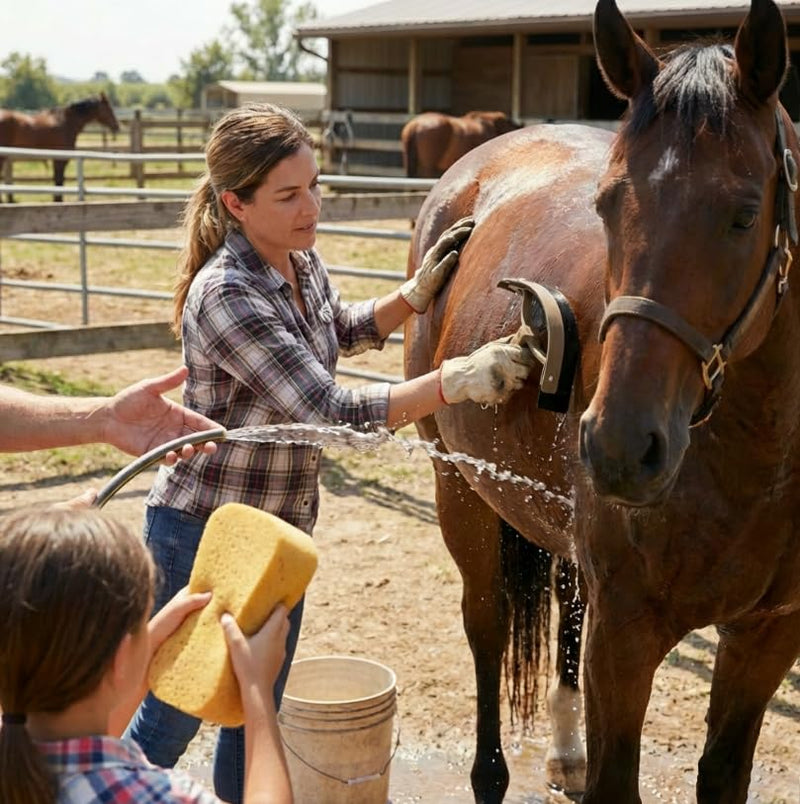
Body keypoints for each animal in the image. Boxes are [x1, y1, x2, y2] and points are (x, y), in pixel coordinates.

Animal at [404, 0, 800, 801]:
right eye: (607, 205)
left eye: (745, 214)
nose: (619, 446)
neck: (757, 457)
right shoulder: (625, 638)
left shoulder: (767, 638)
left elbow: (723, 773)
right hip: (460, 494)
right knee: (487, 627)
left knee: (563, 605)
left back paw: (564, 749)